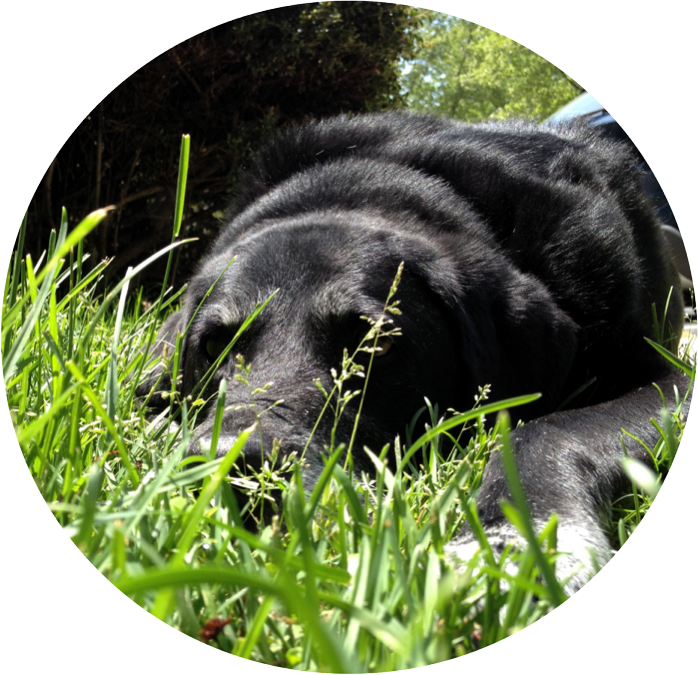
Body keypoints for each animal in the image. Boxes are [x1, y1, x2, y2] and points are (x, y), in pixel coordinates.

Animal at [139, 113, 688, 596]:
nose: (228, 465)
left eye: (374, 344)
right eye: (214, 345)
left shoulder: (672, 378)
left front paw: (508, 543)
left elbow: (548, 430)